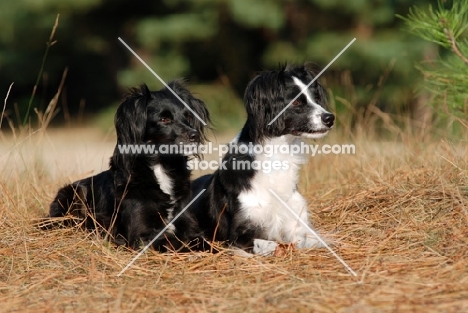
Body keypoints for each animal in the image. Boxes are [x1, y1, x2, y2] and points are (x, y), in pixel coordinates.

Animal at [188, 64, 334, 255]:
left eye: (316, 98)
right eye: (295, 102)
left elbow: (311, 240)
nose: (330, 118)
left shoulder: (296, 222)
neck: (278, 155)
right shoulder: (237, 235)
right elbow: (273, 245)